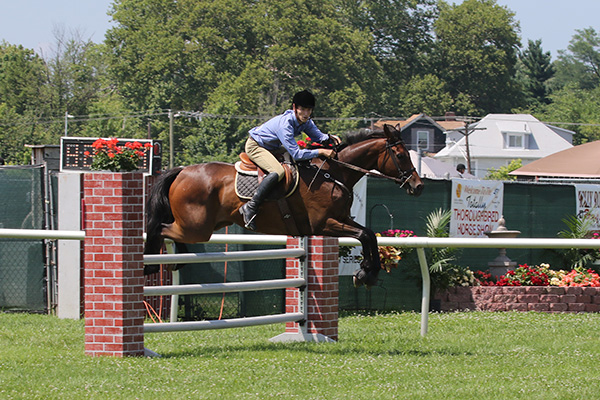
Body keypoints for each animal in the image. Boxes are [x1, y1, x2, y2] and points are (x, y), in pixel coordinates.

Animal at [145, 124, 422, 288]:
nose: (418, 186)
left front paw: (367, 272)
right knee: (160, 228)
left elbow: (369, 235)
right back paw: (154, 263)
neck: (334, 173)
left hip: (204, 225)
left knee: (166, 230)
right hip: (197, 227)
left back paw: (175, 259)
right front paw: (366, 273)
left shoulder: (342, 219)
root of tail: (181, 171)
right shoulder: (324, 224)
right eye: (400, 155)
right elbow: (365, 235)